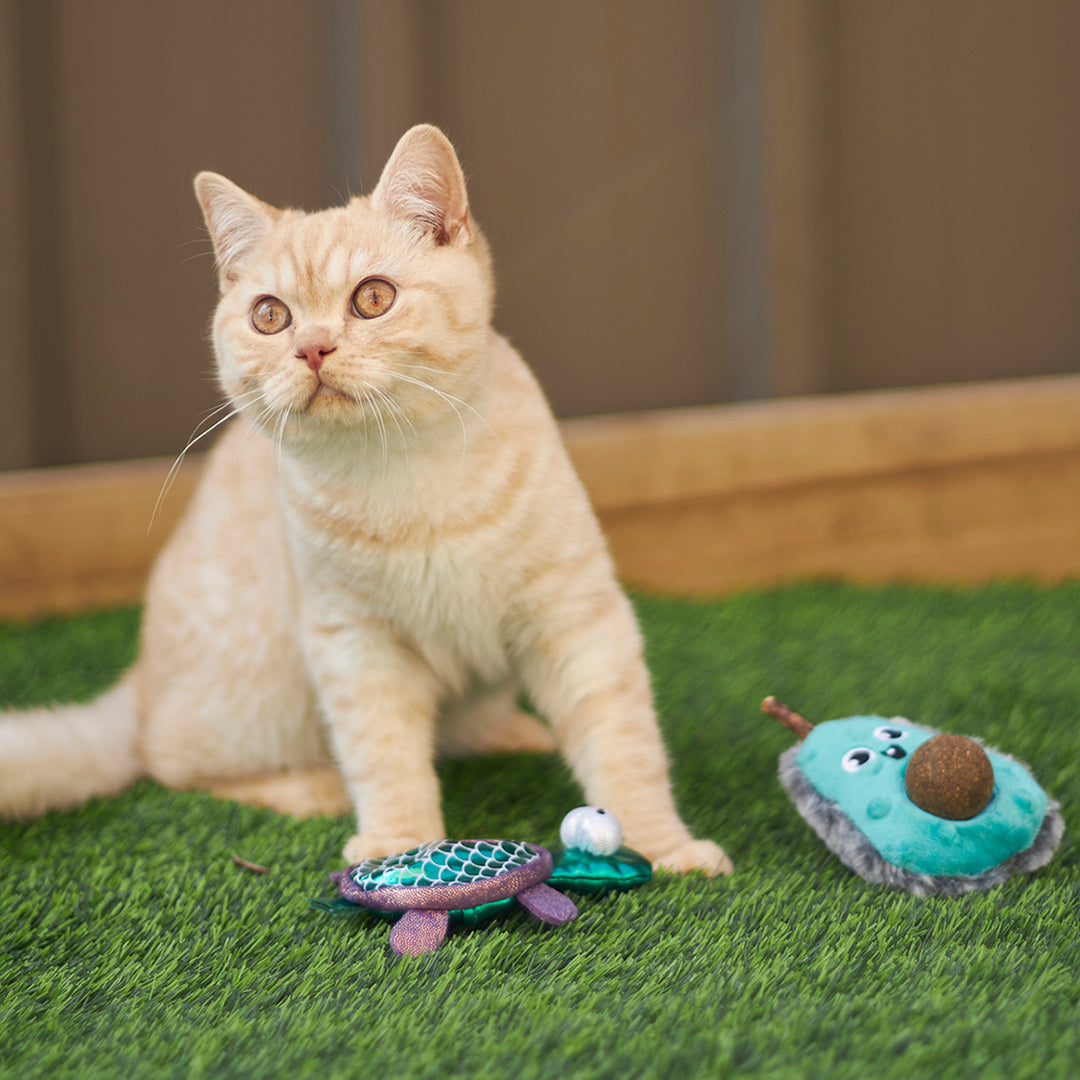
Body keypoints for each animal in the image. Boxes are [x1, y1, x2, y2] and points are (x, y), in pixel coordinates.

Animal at [0, 122, 734, 876]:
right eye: (270, 316)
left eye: (373, 299)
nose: (312, 349)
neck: (406, 471)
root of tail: (140, 681)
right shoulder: (353, 641)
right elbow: (383, 752)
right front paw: (400, 847)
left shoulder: (575, 616)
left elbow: (624, 745)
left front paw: (661, 844)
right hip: (260, 696)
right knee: (169, 764)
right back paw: (309, 787)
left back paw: (511, 731)